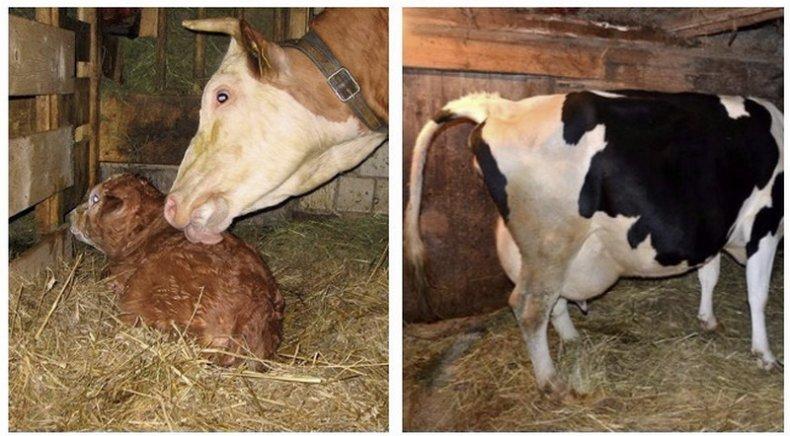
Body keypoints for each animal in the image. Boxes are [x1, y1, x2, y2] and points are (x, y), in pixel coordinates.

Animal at [406, 90, 783, 394]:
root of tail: (501, 107)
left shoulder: (715, 226)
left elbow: (709, 274)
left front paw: (707, 319)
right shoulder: (766, 221)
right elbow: (757, 294)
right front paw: (764, 354)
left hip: (539, 248)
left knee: (550, 299)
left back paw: (571, 338)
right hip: (551, 240)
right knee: (529, 307)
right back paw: (551, 381)